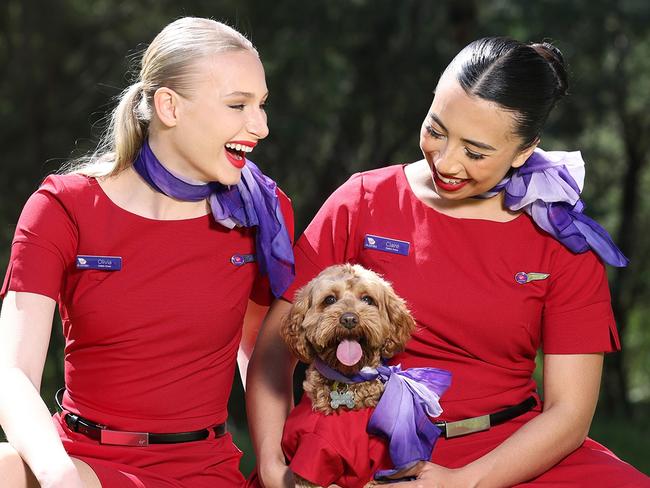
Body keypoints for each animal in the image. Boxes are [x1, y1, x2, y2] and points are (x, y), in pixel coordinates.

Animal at [280, 264, 418, 486]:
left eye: (367, 299)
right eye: (329, 300)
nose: (350, 319)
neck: (348, 382)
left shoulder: (381, 463)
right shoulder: (313, 451)